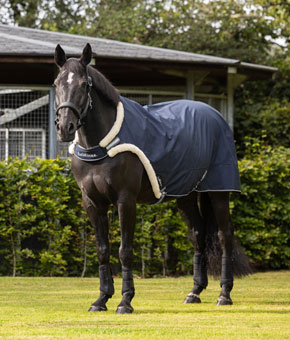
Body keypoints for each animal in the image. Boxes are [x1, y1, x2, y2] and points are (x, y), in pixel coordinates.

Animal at [53, 43, 251, 314]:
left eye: (84, 85)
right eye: (56, 83)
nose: (65, 127)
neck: (102, 146)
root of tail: (215, 115)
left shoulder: (125, 200)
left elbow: (125, 251)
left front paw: (125, 301)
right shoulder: (92, 202)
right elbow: (102, 250)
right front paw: (101, 299)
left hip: (218, 192)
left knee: (224, 235)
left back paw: (224, 294)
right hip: (186, 196)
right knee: (198, 234)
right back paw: (195, 292)